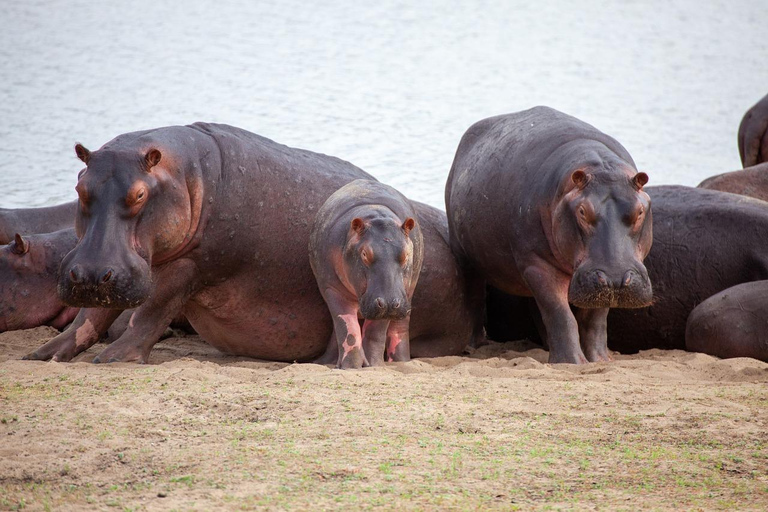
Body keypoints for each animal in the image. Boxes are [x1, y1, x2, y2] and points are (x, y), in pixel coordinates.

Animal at [308, 180, 424, 368]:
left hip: (407, 293)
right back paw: (329, 362)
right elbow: (347, 330)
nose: (390, 303)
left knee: (399, 328)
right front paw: (350, 367)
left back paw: (401, 361)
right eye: (364, 254)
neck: (376, 215)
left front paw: (374, 365)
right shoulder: (333, 289)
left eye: (406, 254)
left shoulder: (387, 305)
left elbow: (374, 333)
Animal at [448, 107, 652, 364]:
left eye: (639, 211)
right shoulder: (538, 264)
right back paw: (475, 346)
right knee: (476, 298)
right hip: (469, 257)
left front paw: (599, 360)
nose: (615, 278)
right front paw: (572, 362)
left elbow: (594, 320)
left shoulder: (601, 284)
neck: (599, 167)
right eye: (582, 211)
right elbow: (560, 314)